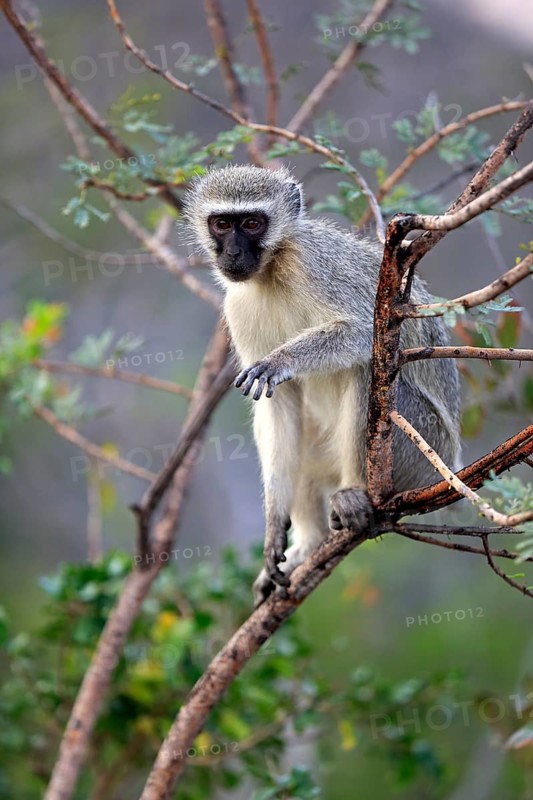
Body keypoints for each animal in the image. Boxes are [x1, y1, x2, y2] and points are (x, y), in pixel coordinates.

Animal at [183, 165, 461, 606]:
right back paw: (310, 544)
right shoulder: (237, 306)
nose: (233, 254)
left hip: (423, 456)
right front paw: (273, 529)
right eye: (222, 224)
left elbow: (366, 332)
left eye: (252, 223)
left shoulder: (312, 264)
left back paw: (354, 493)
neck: (271, 271)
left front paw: (281, 360)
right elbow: (279, 406)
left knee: (368, 370)